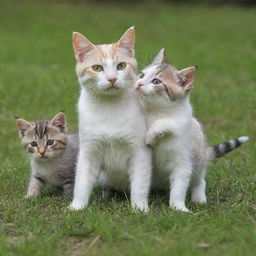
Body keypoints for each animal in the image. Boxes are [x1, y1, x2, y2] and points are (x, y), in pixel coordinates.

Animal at [135, 48, 249, 212]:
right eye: (142, 75)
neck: (156, 112)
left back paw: (199, 198)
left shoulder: (183, 161)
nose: (139, 83)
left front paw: (179, 208)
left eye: (156, 81)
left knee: (200, 180)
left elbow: (179, 187)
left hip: (197, 161)